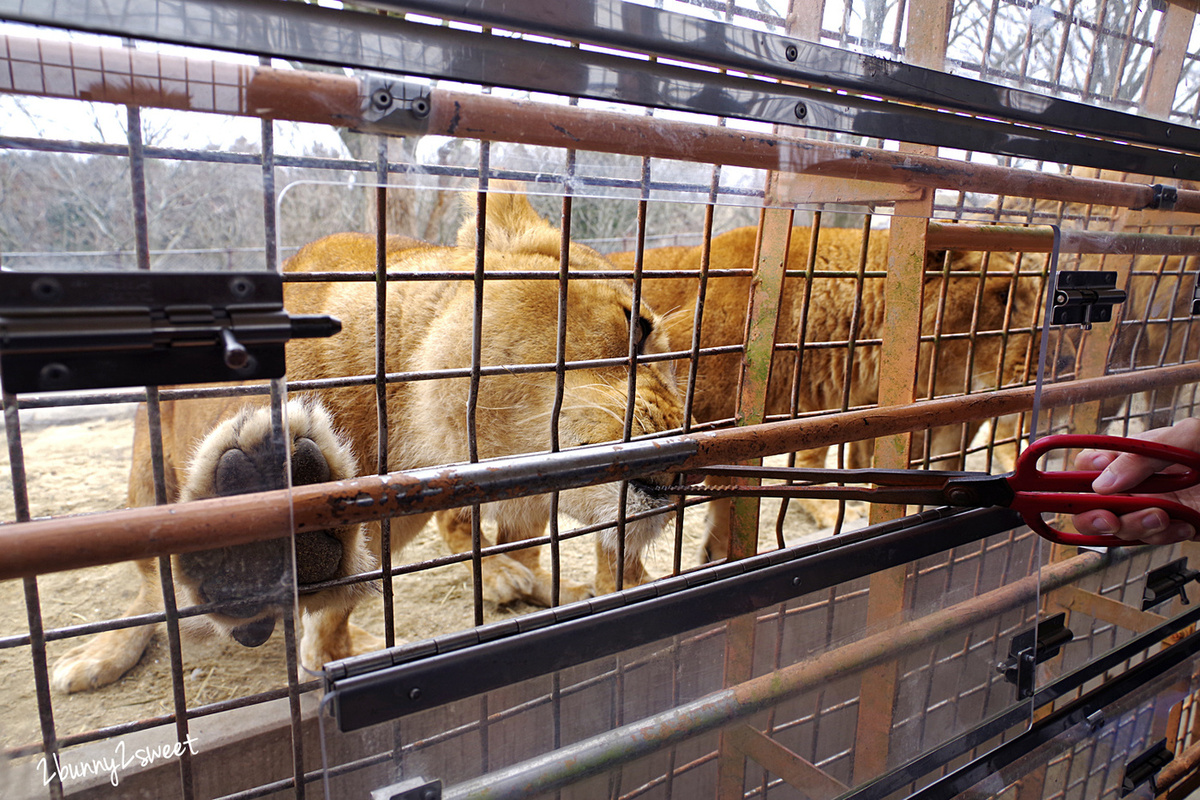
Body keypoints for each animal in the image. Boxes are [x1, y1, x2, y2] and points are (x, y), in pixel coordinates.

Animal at [49, 189, 686, 695]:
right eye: (636, 326)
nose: (694, 442)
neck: (407, 435)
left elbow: (334, 613)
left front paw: (332, 652)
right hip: (145, 474)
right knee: (149, 584)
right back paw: (100, 653)